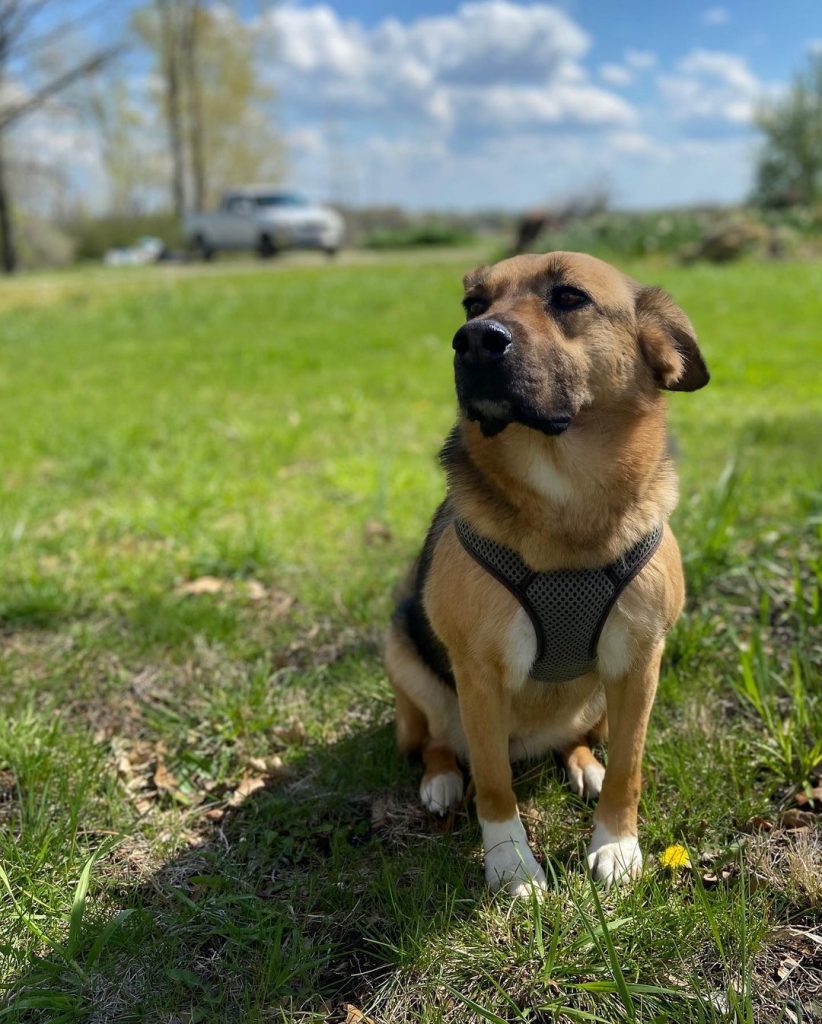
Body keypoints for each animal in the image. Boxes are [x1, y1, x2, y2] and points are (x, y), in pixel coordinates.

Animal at [384, 251, 708, 892]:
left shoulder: (640, 661)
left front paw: (617, 843)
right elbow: (492, 784)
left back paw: (583, 765)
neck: (566, 500)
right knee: (436, 741)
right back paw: (440, 780)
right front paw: (511, 866)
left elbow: (629, 767)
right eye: (473, 304)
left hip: (599, 705)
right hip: (403, 658)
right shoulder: (479, 674)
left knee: (578, 739)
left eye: (570, 297)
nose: (473, 340)